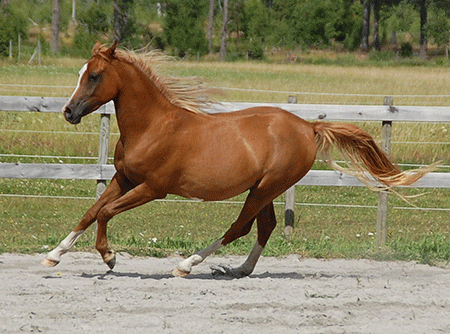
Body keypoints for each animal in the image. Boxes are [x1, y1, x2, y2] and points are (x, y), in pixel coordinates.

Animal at [44, 41, 434, 276]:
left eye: (94, 76)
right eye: (80, 74)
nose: (68, 112)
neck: (153, 127)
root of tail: (308, 126)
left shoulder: (153, 188)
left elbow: (105, 213)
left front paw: (109, 257)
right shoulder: (123, 179)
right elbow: (91, 212)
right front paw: (54, 254)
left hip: (266, 187)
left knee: (240, 226)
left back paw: (188, 264)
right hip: (265, 189)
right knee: (265, 226)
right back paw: (239, 269)